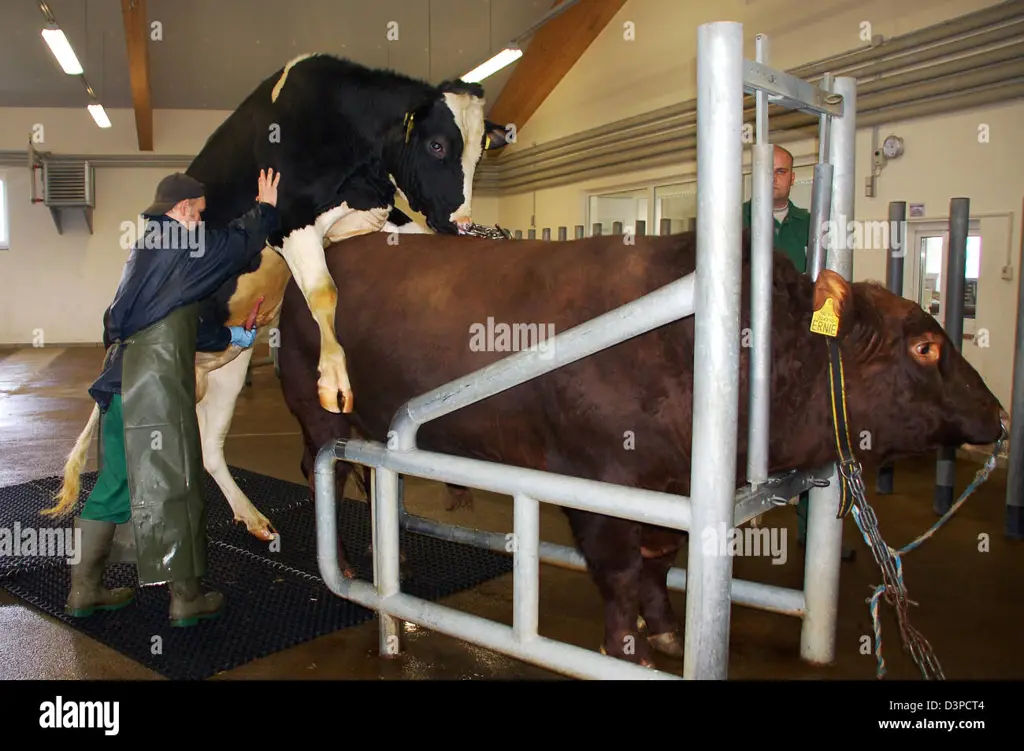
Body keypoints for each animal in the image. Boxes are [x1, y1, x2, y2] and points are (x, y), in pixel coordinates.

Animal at [185, 51, 512, 415]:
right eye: (437, 145)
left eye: (479, 153)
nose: (463, 223)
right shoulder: (289, 221)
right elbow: (323, 292)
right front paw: (334, 378)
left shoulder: (375, 213)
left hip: (226, 372)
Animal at [272, 228, 1007, 663]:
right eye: (925, 345)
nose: (999, 415)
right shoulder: (594, 481)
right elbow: (621, 573)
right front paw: (627, 648)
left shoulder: (670, 488)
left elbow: (659, 563)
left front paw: (669, 627)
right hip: (317, 414)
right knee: (324, 471)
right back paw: (349, 569)